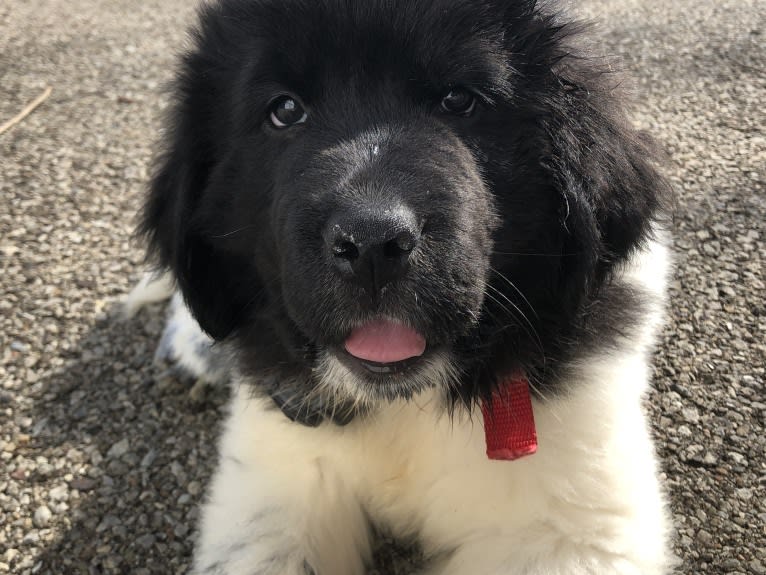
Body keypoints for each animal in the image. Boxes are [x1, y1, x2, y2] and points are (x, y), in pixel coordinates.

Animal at [136, 0, 672, 572]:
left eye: (459, 100)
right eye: (284, 111)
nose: (372, 242)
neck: (404, 409)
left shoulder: (569, 514)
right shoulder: (274, 479)